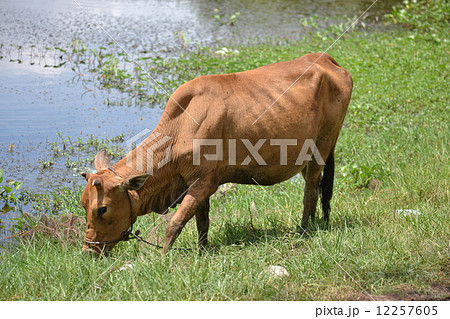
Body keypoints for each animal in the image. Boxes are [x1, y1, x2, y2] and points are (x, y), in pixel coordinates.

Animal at [82, 52, 354, 255]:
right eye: (84, 203)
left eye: (102, 209)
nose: (89, 250)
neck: (178, 129)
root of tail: (325, 59)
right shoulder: (194, 182)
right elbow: (202, 222)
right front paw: (202, 250)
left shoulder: (205, 182)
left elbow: (176, 223)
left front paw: (163, 257)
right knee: (318, 187)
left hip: (321, 146)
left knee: (310, 190)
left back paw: (303, 230)